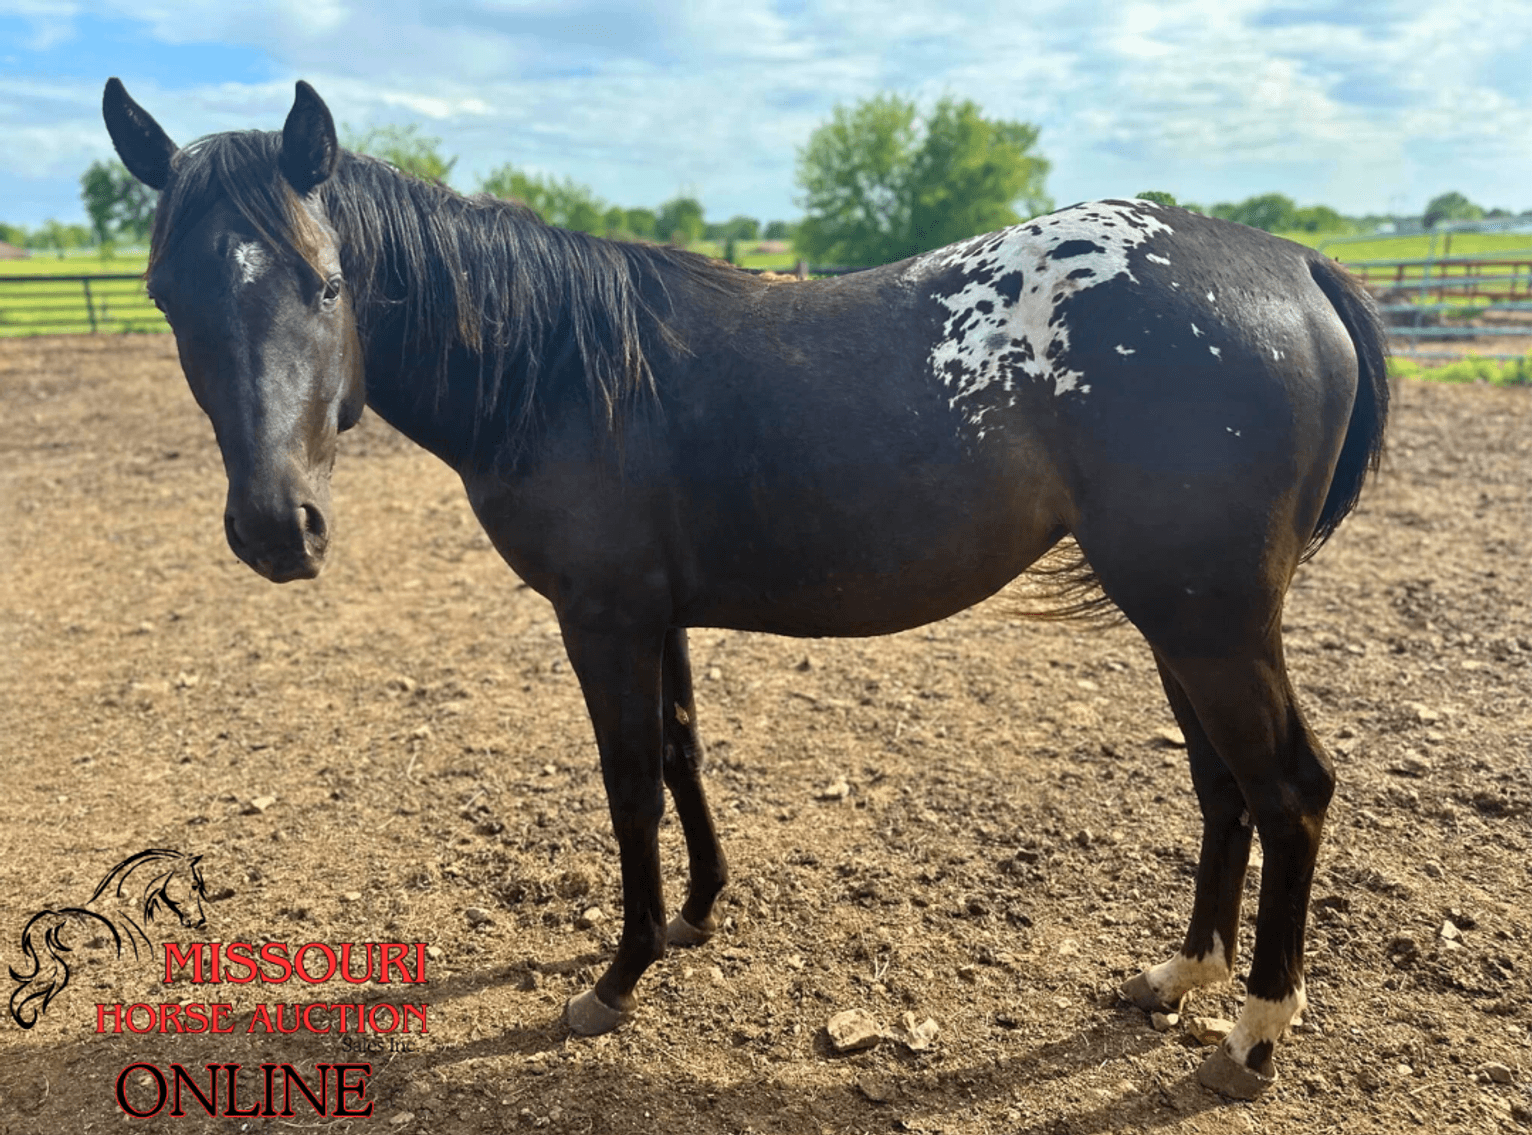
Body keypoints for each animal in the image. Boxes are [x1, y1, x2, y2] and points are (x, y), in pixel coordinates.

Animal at [103, 78, 1388, 1098]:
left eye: (326, 284)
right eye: (165, 293)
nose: (276, 528)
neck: (561, 370)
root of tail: (1292, 262)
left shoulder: (603, 617)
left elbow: (628, 785)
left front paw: (615, 977)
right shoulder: (655, 613)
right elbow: (682, 751)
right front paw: (697, 913)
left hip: (1206, 619)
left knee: (1288, 790)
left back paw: (1253, 1033)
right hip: (1179, 620)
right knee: (1222, 788)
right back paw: (1180, 975)